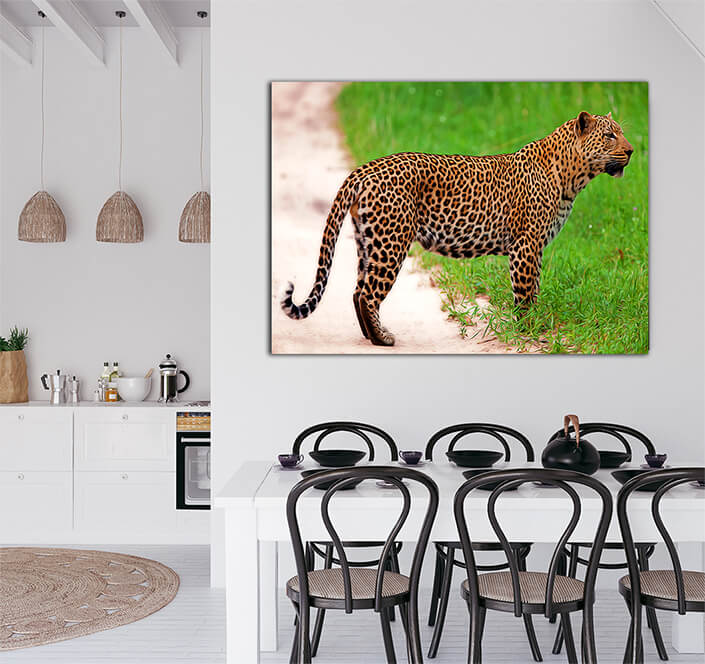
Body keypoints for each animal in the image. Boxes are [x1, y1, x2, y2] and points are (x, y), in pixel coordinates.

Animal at [281, 111, 633, 347]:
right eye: (609, 136)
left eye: (620, 133)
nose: (631, 151)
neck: (573, 177)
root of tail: (364, 168)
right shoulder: (526, 244)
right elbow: (525, 292)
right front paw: (528, 330)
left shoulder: (536, 246)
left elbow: (534, 287)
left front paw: (532, 326)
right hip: (392, 242)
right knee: (368, 293)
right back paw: (383, 339)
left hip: (369, 240)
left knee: (357, 291)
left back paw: (371, 336)